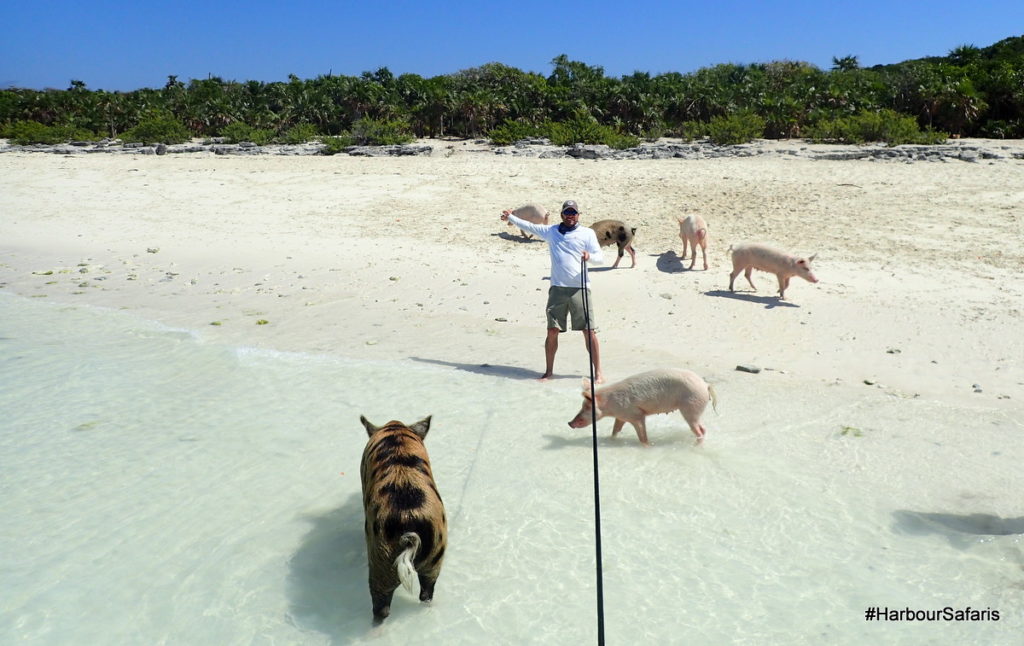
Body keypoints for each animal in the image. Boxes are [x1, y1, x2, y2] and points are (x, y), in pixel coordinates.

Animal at [565, 366, 716, 446]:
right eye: (582, 405)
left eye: (586, 407)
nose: (569, 423)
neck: (610, 403)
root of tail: (706, 385)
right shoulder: (621, 415)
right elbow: (615, 430)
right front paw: (610, 440)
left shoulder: (636, 414)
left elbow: (642, 435)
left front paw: (647, 446)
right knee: (703, 428)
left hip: (692, 406)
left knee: (699, 429)